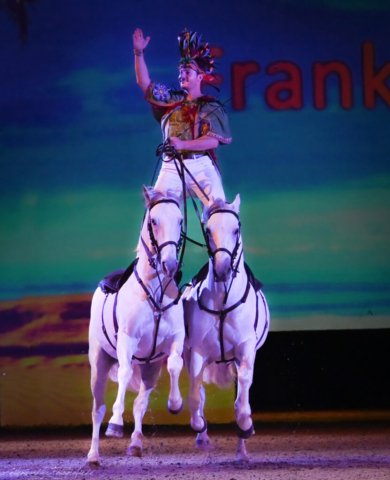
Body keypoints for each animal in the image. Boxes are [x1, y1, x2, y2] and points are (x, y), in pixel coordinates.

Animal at [87, 188, 185, 464]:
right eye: (154, 221)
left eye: (180, 220)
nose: (169, 265)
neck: (155, 293)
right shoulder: (127, 341)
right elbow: (124, 373)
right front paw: (116, 423)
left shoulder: (174, 340)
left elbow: (175, 364)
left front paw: (175, 404)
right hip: (99, 360)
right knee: (97, 408)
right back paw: (93, 455)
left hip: (150, 367)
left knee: (140, 403)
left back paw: (135, 444)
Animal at [182, 195, 268, 462]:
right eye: (208, 230)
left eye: (236, 229)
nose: (222, 269)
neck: (222, 301)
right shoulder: (197, 352)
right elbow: (194, 396)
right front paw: (201, 429)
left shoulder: (245, 351)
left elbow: (242, 399)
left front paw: (246, 427)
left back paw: (241, 451)